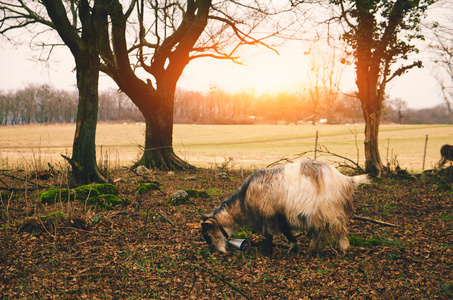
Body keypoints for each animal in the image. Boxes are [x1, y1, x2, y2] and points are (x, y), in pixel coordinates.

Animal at [200, 161, 368, 256]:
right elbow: (285, 230)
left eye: (208, 234)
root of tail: (345, 180)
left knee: (339, 229)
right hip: (318, 214)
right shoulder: (280, 214)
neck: (244, 200)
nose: (216, 252)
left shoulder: (268, 214)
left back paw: (343, 250)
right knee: (319, 231)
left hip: (329, 210)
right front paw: (293, 247)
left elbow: (269, 233)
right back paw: (312, 250)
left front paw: (268, 252)